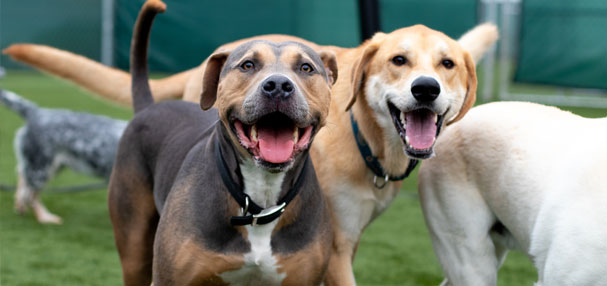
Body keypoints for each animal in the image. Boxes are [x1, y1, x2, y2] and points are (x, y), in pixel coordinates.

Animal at [0, 89, 127, 223]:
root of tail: (35, 112)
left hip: (49, 167)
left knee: (22, 177)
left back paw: (21, 207)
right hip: (41, 169)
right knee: (29, 195)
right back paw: (45, 218)